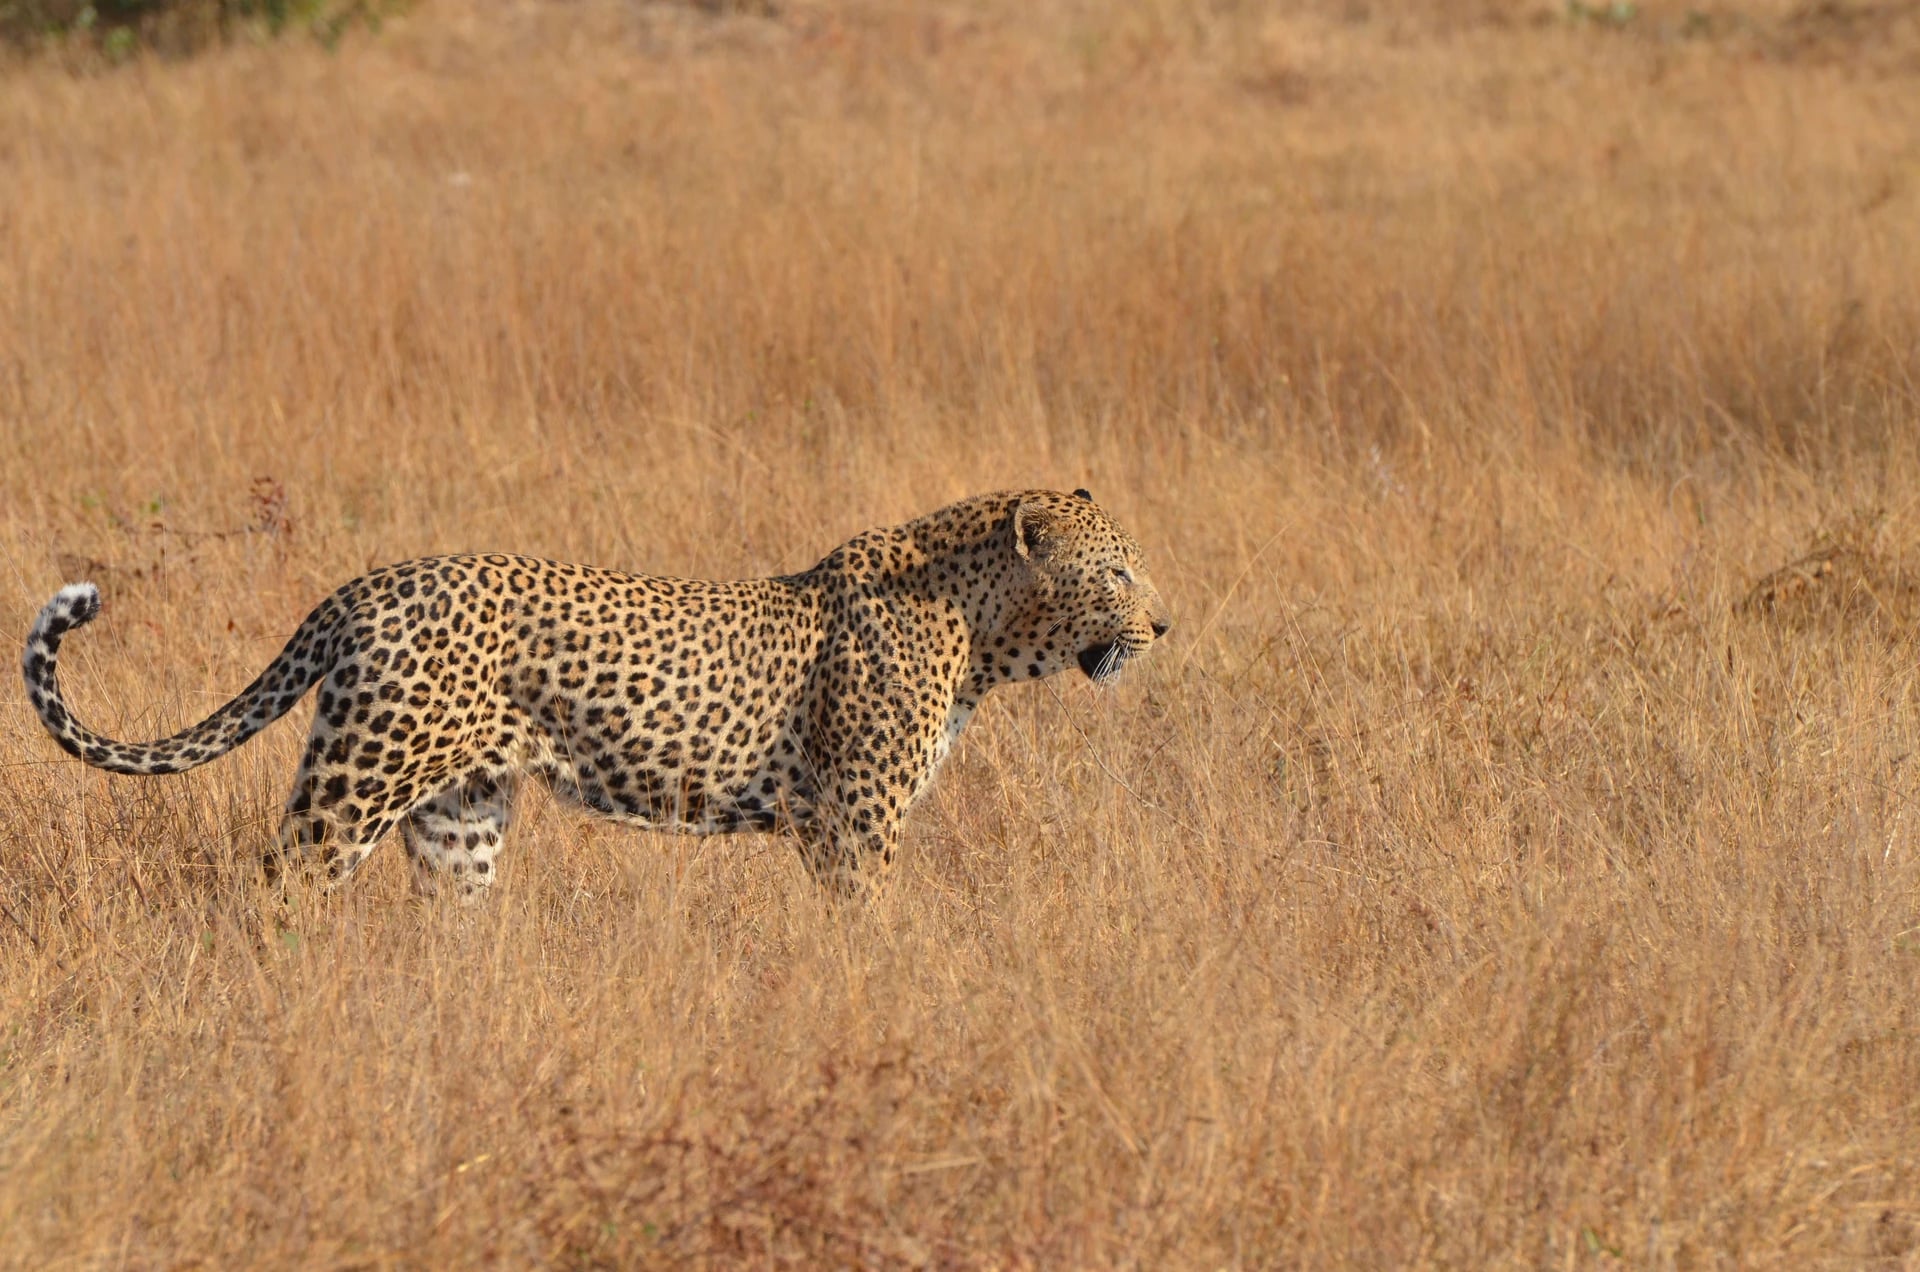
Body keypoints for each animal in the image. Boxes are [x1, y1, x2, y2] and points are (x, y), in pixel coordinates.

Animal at [22, 489, 1172, 900]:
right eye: (1117, 572)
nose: (1165, 626)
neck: (979, 634)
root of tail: (363, 587)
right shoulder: (853, 818)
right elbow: (871, 919)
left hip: (459, 813)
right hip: (359, 777)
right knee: (276, 885)